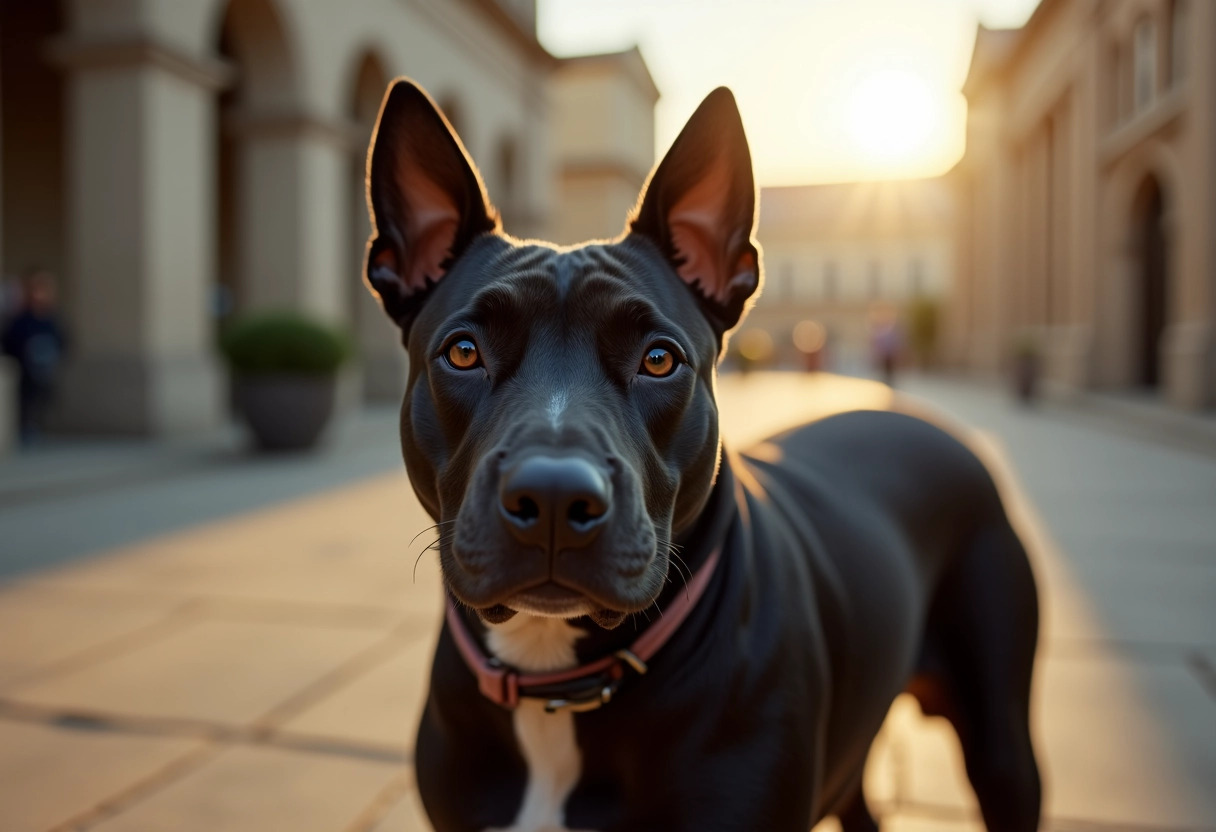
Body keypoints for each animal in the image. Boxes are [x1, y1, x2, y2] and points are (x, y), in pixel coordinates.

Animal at [364, 77, 1040, 832]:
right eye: (463, 353)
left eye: (659, 360)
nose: (553, 497)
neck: (556, 687)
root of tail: (928, 424)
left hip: (1002, 741)